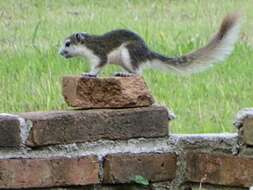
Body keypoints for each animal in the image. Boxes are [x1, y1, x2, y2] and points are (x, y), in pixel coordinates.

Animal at [58, 12, 240, 77]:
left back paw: (127, 75)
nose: (60, 53)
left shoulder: (99, 53)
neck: (88, 44)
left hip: (129, 53)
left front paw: (89, 74)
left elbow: (98, 66)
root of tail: (147, 53)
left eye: (67, 44)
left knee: (139, 73)